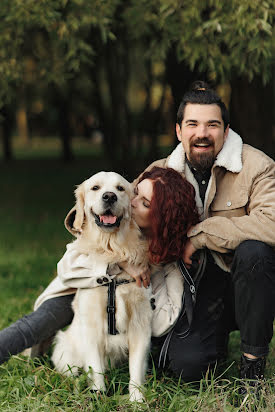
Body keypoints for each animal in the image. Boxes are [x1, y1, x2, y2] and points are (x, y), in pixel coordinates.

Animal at [50, 171, 152, 402]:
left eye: (120, 188)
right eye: (95, 188)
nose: (109, 196)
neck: (112, 247)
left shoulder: (141, 324)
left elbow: (136, 367)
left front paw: (137, 398)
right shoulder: (92, 325)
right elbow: (95, 366)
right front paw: (98, 393)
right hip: (64, 347)